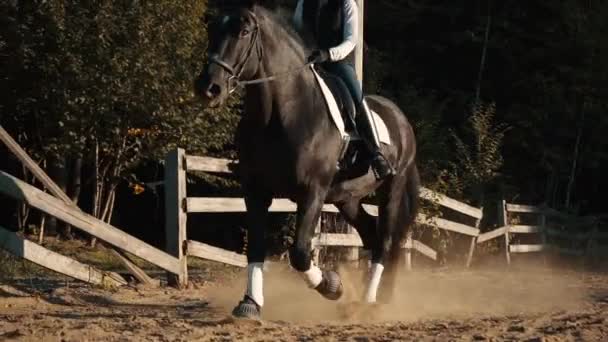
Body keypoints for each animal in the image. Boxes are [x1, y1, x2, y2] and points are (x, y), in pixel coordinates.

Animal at [196, 2, 418, 320]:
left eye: (244, 31)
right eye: (213, 28)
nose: (208, 87)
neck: (283, 114)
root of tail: (400, 117)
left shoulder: (312, 192)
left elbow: (300, 253)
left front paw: (332, 286)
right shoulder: (256, 192)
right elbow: (256, 248)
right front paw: (250, 304)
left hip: (393, 188)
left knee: (385, 242)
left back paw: (368, 302)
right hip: (347, 198)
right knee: (372, 235)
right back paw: (371, 299)